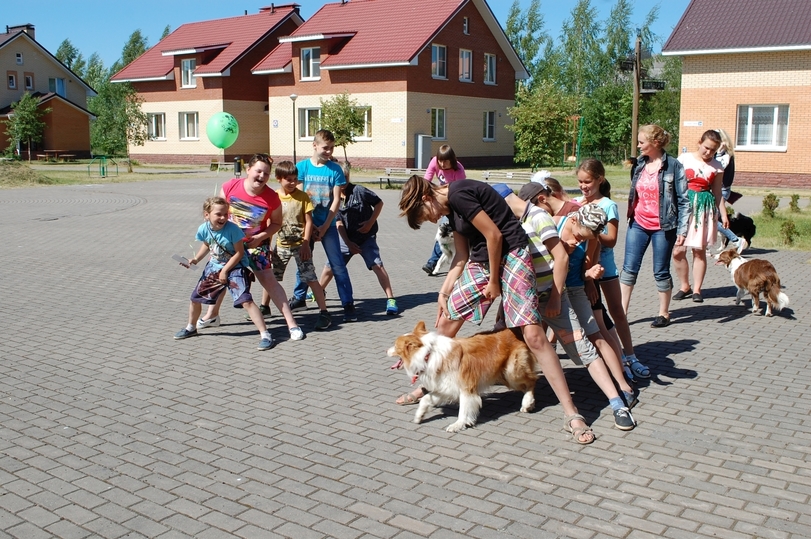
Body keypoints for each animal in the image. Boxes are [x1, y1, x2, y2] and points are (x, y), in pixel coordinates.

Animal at [388, 322, 540, 432]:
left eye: (395, 345)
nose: (386, 350)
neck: (428, 354)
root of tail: (515, 331)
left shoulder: (466, 387)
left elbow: (464, 409)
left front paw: (458, 425)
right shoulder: (446, 386)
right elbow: (426, 399)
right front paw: (419, 415)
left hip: (512, 372)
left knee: (532, 380)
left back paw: (527, 402)